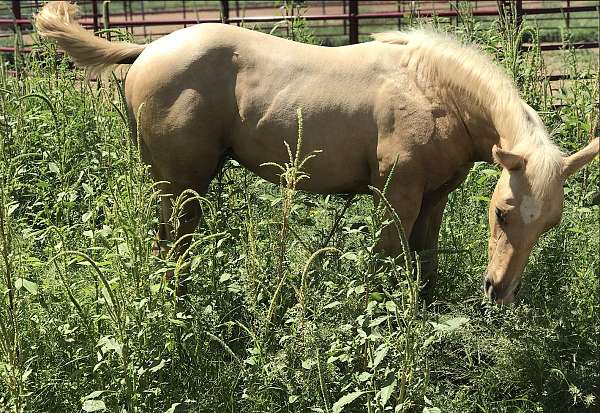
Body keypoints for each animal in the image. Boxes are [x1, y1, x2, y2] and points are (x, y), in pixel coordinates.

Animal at [36, 2, 596, 302]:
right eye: (502, 213)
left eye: (549, 225)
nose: (498, 290)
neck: (431, 91)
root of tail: (147, 49)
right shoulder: (396, 195)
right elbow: (388, 261)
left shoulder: (435, 197)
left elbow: (425, 261)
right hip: (178, 184)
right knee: (168, 245)